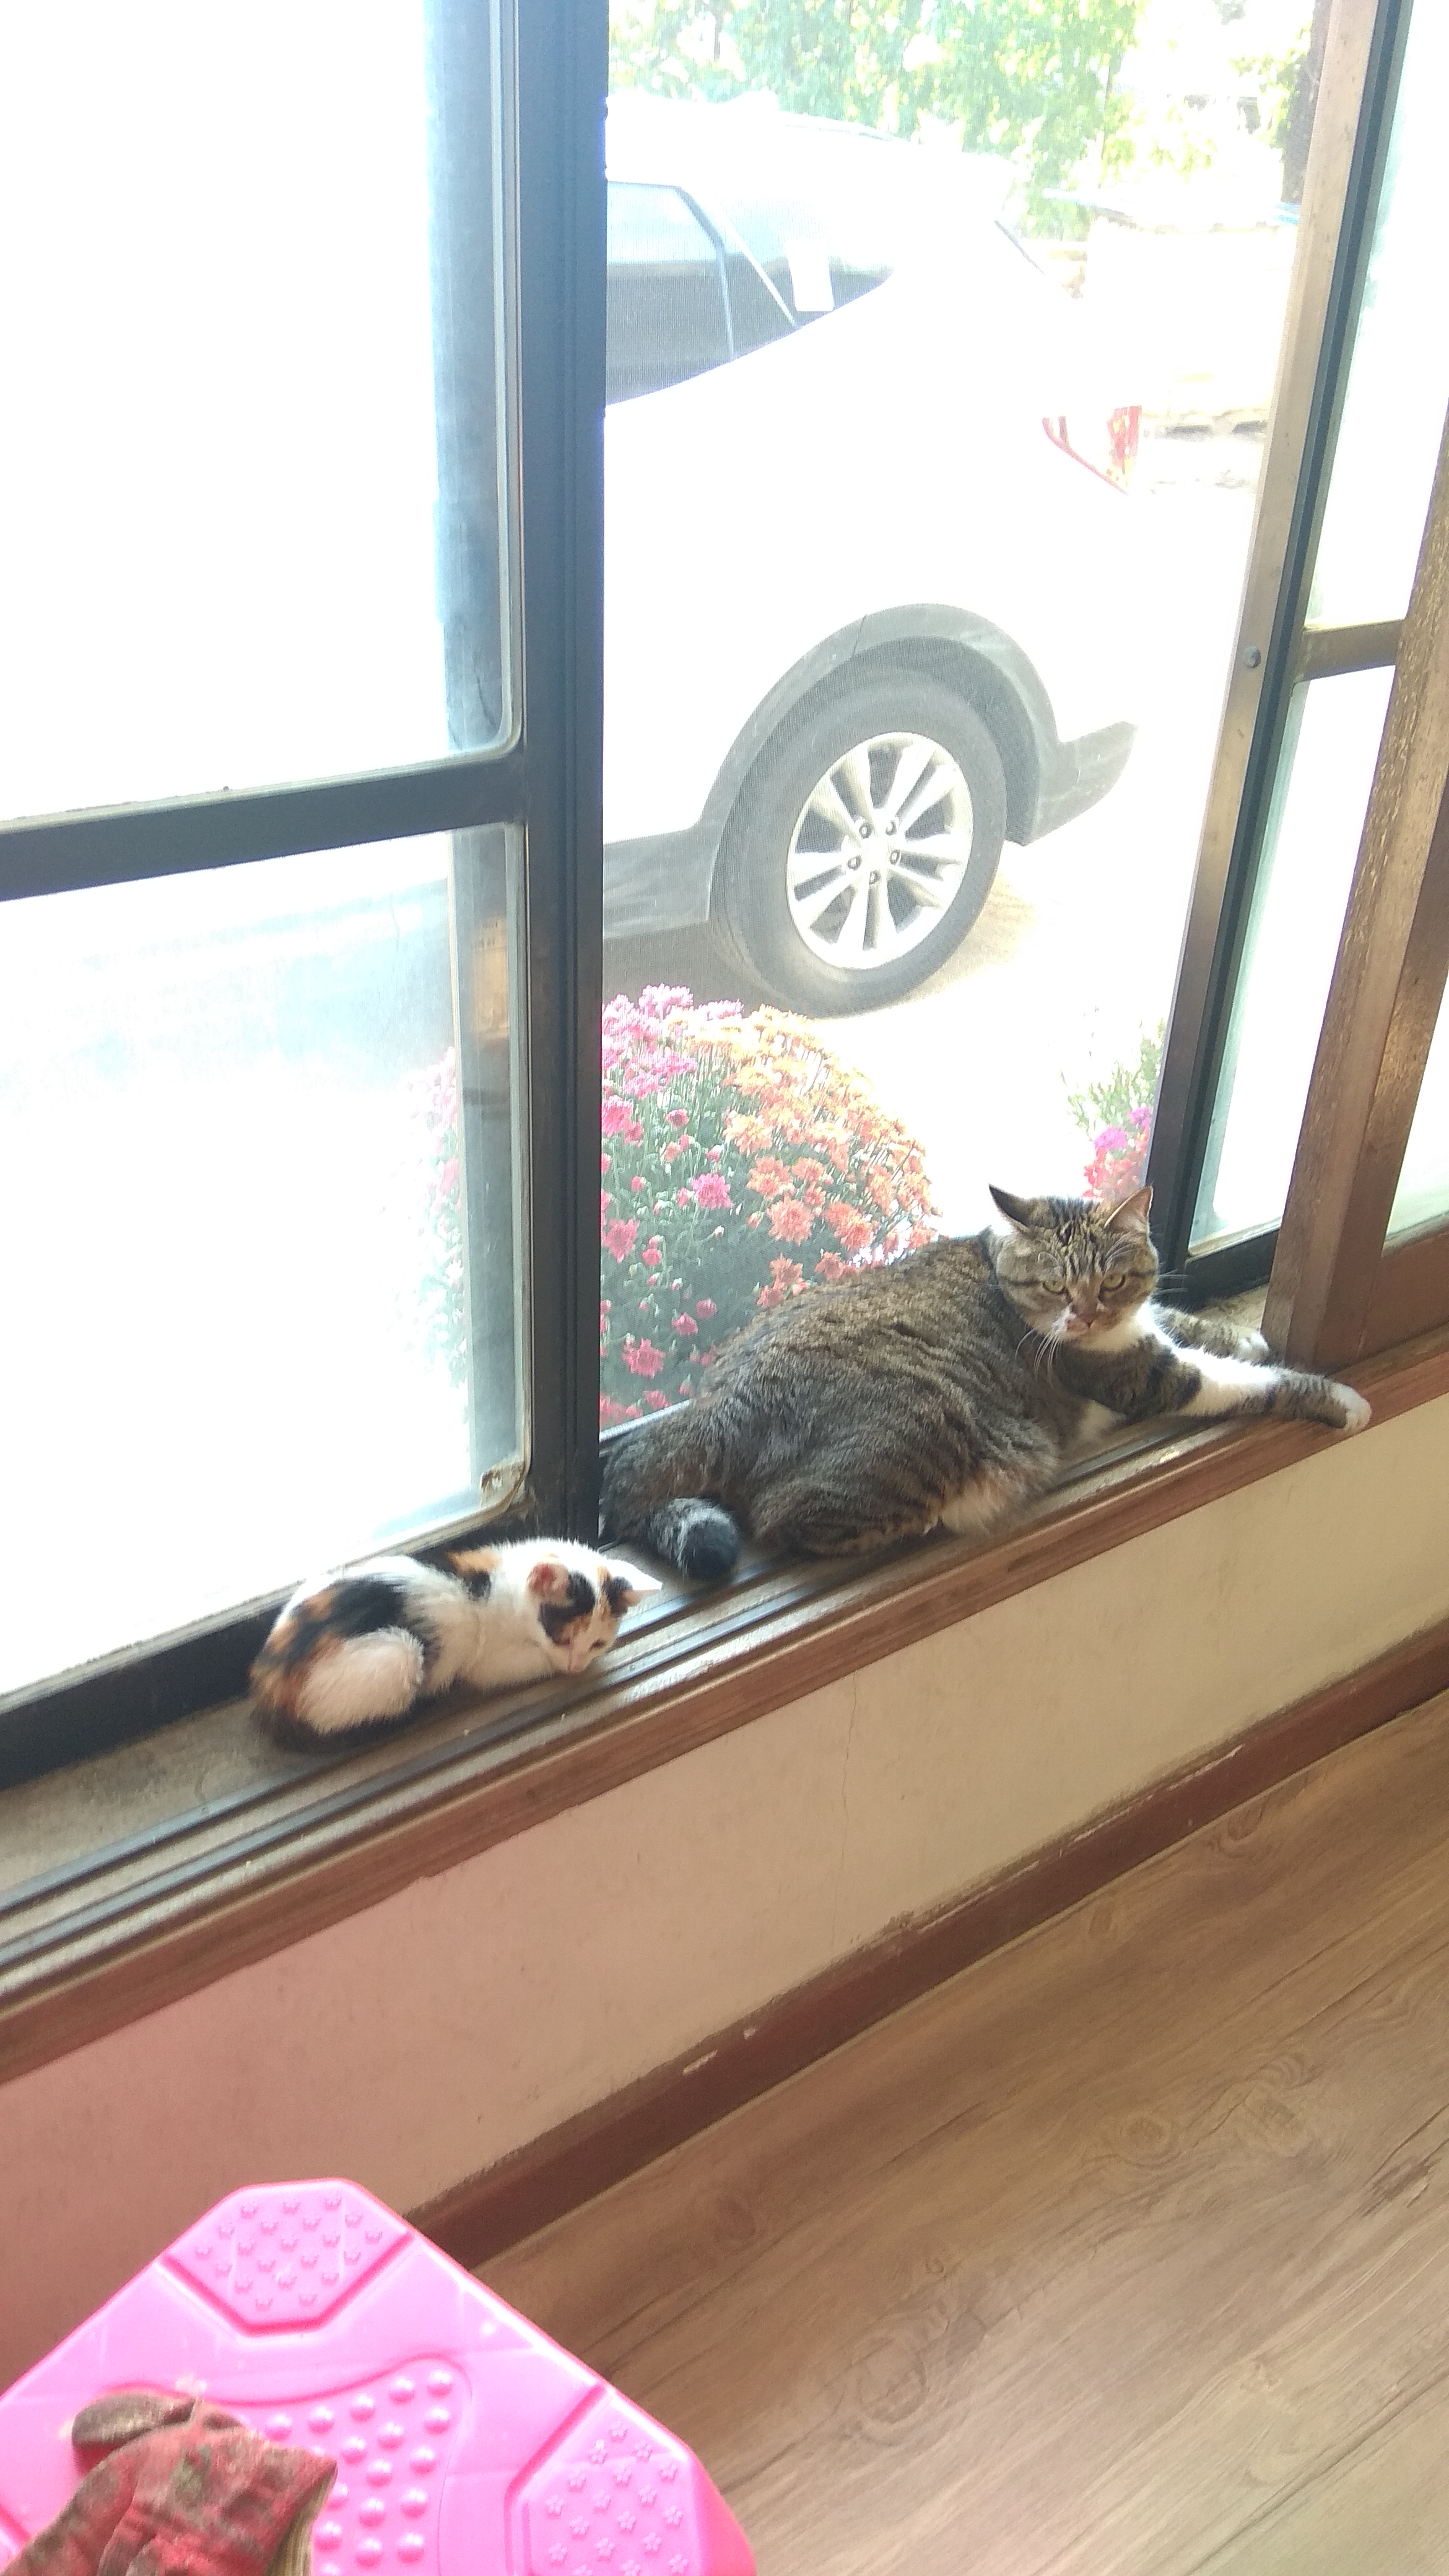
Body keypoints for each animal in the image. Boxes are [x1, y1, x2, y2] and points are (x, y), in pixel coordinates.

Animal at [251, 1538, 660, 1747]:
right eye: (562, 1638)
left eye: (598, 1643)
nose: (576, 1666)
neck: (501, 1583)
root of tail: (269, 1688)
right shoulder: (488, 1663)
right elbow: (529, 1664)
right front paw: (557, 1666)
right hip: (400, 1652)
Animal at [600, 1184, 1371, 1581]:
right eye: (1057, 1286)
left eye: (1111, 1280)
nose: (1084, 1314)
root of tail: (717, 1405)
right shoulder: (1143, 1375)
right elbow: (1247, 1382)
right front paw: (1338, 1399)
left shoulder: (1142, 1327)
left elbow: (1189, 1323)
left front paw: (1244, 1333)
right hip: (929, 1422)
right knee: (786, 1517)